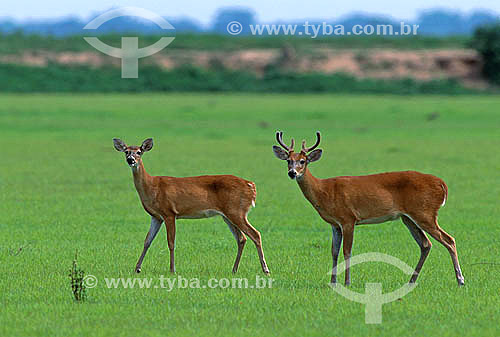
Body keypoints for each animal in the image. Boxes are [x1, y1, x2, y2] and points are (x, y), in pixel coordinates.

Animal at [113, 138, 270, 274]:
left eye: (139, 152)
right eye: (126, 151)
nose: (130, 160)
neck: (152, 187)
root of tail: (251, 185)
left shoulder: (169, 213)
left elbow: (171, 242)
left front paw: (172, 270)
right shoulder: (156, 217)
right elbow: (147, 241)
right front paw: (137, 269)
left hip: (237, 211)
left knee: (255, 234)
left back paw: (265, 269)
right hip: (228, 215)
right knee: (242, 238)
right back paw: (234, 269)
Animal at [274, 130, 464, 284]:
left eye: (303, 161)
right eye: (288, 161)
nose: (292, 173)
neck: (324, 190)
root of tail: (442, 184)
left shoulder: (348, 218)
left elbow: (347, 251)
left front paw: (347, 282)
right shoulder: (335, 224)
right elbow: (334, 251)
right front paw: (332, 282)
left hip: (425, 213)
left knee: (449, 239)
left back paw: (460, 279)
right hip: (408, 218)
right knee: (425, 244)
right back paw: (411, 280)